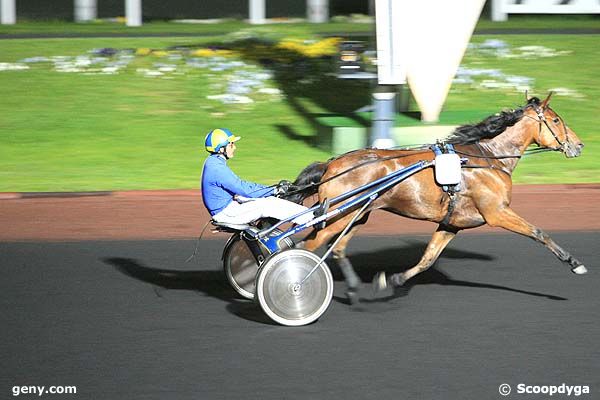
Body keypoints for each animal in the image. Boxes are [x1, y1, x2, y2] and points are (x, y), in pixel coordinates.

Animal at [284, 93, 584, 300]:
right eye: (556, 120)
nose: (579, 145)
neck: (485, 157)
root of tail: (331, 164)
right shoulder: (496, 213)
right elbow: (538, 232)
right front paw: (574, 263)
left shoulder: (451, 223)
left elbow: (428, 259)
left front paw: (392, 280)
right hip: (339, 217)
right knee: (306, 247)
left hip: (357, 216)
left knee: (337, 248)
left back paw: (352, 288)